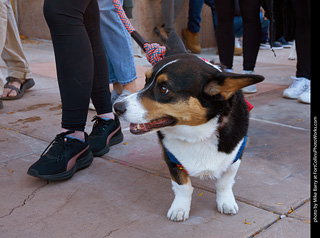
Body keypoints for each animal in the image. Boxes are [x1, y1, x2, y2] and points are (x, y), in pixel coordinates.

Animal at [114, 32, 264, 222]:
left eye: (164, 89)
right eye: (146, 80)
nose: (116, 107)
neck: (198, 133)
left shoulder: (234, 157)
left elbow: (224, 183)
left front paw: (226, 202)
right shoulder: (172, 159)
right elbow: (183, 186)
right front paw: (179, 208)